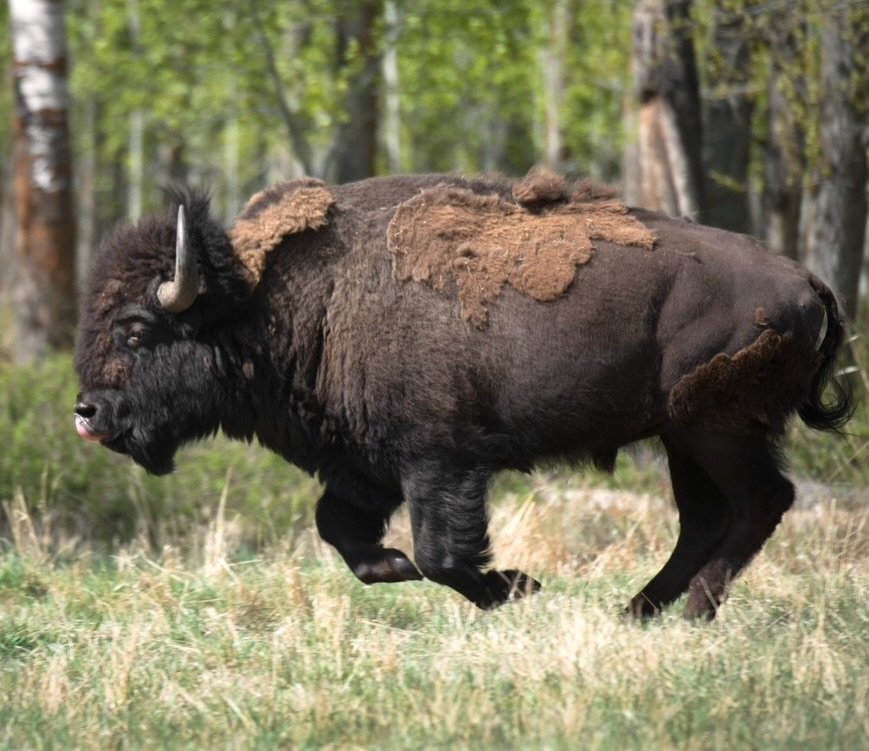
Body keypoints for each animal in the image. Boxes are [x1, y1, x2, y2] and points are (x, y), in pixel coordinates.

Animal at [74, 171, 851, 619]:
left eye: (137, 329)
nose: (88, 412)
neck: (277, 304)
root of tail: (807, 282)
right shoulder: (364, 466)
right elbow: (341, 530)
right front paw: (395, 568)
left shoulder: (438, 462)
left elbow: (442, 554)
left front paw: (518, 587)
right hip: (680, 436)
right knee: (704, 517)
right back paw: (637, 609)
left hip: (715, 429)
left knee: (760, 502)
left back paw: (686, 609)